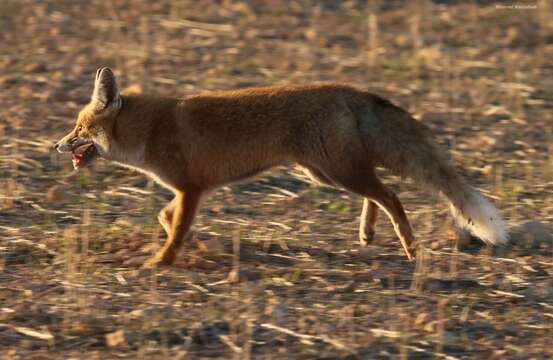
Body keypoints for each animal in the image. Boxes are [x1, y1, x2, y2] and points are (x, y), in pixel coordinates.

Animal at [54, 69, 506, 268]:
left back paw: (410, 249)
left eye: (79, 129)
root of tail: (346, 89)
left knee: (391, 195)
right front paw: (180, 242)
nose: (55, 145)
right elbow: (167, 218)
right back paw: (367, 232)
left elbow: (176, 231)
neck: (151, 130)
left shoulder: (192, 188)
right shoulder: (188, 192)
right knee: (379, 194)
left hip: (336, 170)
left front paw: (160, 263)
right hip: (328, 172)